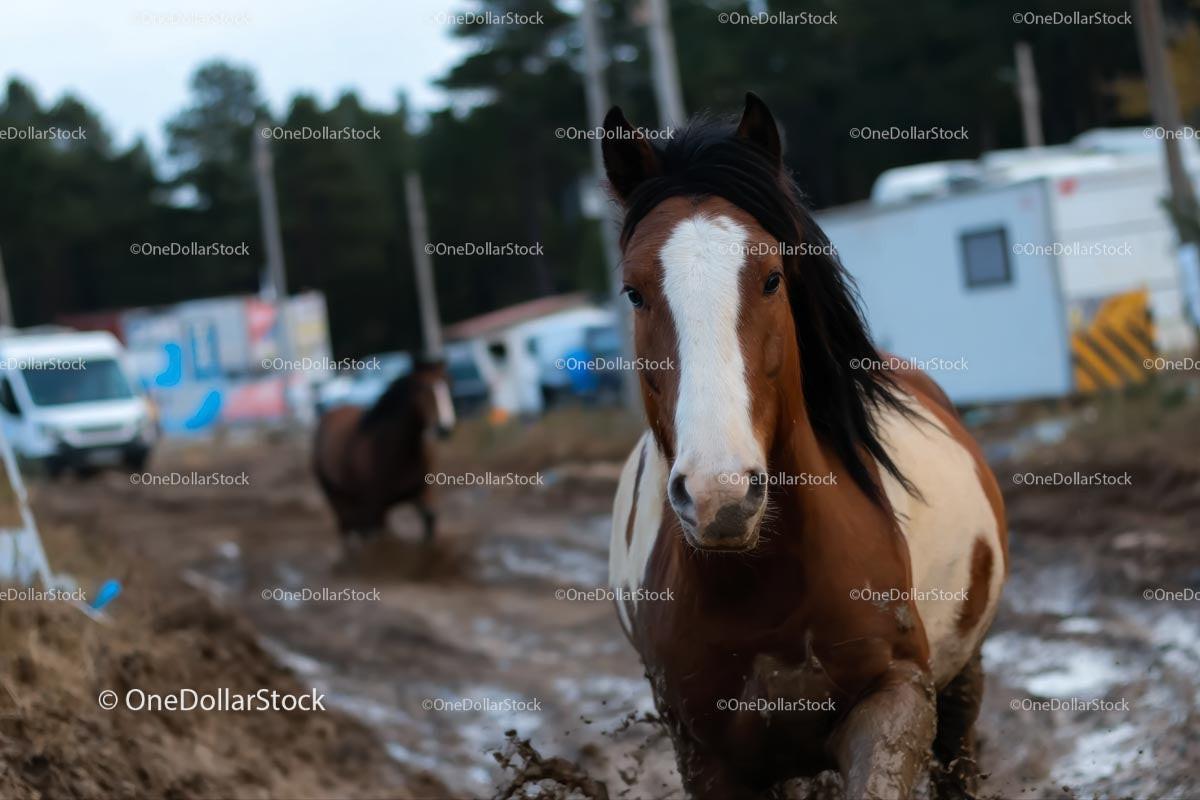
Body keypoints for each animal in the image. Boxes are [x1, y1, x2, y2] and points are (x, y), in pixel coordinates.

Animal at [313, 359, 456, 550]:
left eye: (449, 384)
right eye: (422, 388)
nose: (444, 427)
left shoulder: (423, 495)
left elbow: (429, 522)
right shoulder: (375, 508)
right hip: (337, 499)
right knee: (347, 530)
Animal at [604, 94, 1007, 800]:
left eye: (771, 278)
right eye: (633, 291)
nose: (719, 496)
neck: (766, 586)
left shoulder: (895, 697)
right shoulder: (706, 755)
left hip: (964, 677)